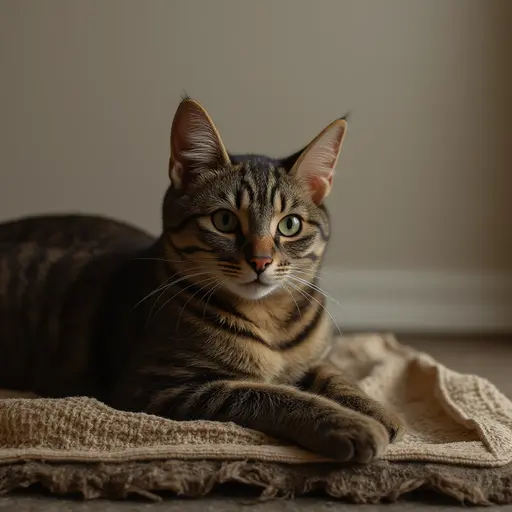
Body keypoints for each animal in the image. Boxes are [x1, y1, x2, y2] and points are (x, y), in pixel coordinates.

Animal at [1, 98, 408, 462]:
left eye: (290, 225)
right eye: (224, 220)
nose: (261, 260)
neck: (269, 319)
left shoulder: (312, 358)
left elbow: (336, 374)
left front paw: (379, 410)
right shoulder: (160, 385)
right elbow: (270, 395)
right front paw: (351, 424)